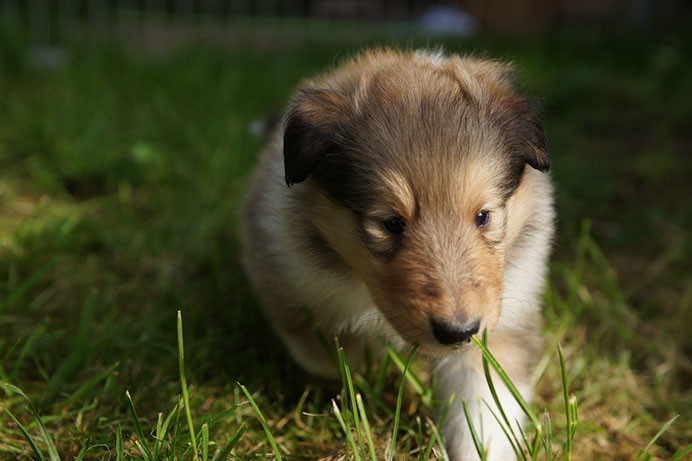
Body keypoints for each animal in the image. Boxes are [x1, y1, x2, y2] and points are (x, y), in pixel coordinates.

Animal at [241, 48, 554, 460]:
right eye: (390, 223)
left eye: (483, 216)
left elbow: (485, 408)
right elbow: (328, 354)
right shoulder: (289, 280)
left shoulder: (503, 319)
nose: (457, 332)